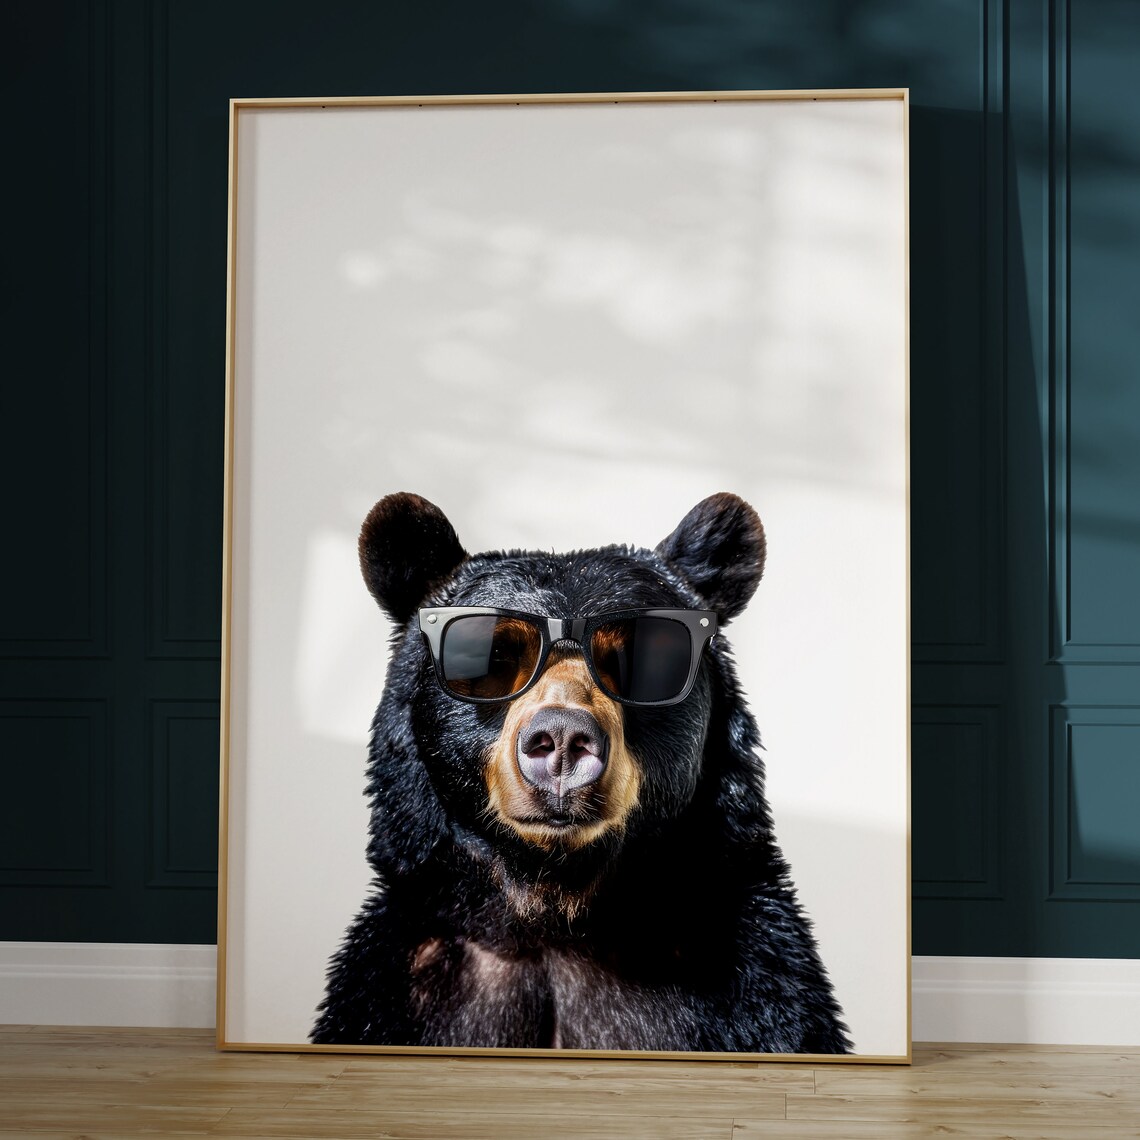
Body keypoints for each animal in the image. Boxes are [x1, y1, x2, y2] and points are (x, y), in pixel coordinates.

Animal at [311, 491, 851, 1054]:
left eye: (645, 655)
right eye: (493, 656)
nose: (564, 739)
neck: (557, 915)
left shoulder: (759, 990)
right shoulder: (397, 990)